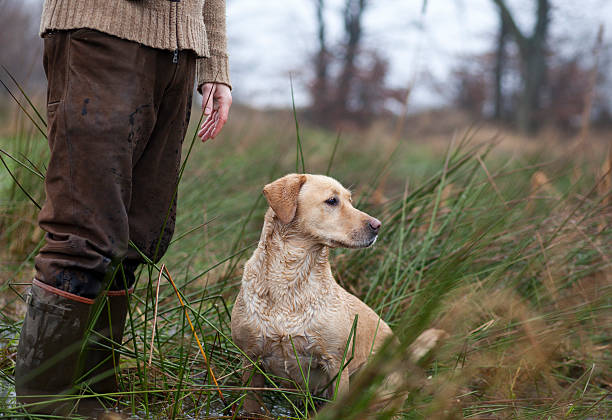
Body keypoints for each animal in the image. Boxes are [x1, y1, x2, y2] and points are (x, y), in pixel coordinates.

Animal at [232, 174, 442, 414]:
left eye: (350, 200)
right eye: (332, 201)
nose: (377, 225)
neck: (290, 278)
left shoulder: (336, 363)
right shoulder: (250, 358)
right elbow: (250, 404)